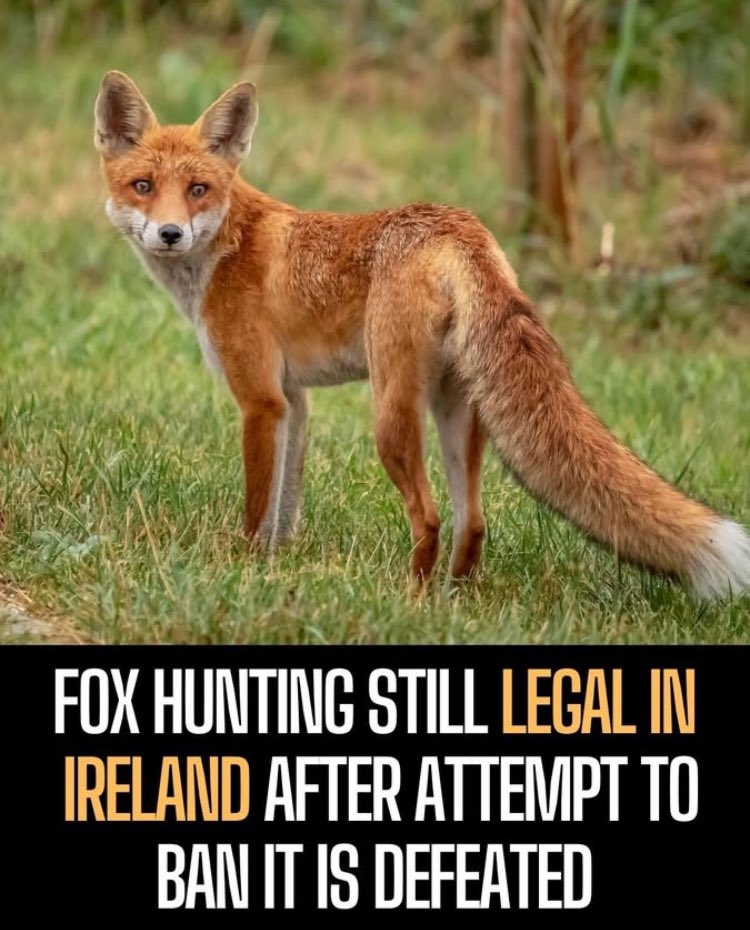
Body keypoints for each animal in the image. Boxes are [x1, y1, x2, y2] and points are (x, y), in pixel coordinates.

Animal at [94, 70, 750, 599]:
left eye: (198, 189)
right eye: (143, 186)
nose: (171, 234)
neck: (225, 248)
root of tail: (459, 226)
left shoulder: (260, 400)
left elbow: (259, 507)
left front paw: (245, 569)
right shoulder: (294, 401)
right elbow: (286, 506)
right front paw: (278, 565)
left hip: (391, 416)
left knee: (430, 517)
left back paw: (409, 598)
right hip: (458, 413)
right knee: (474, 521)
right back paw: (453, 600)